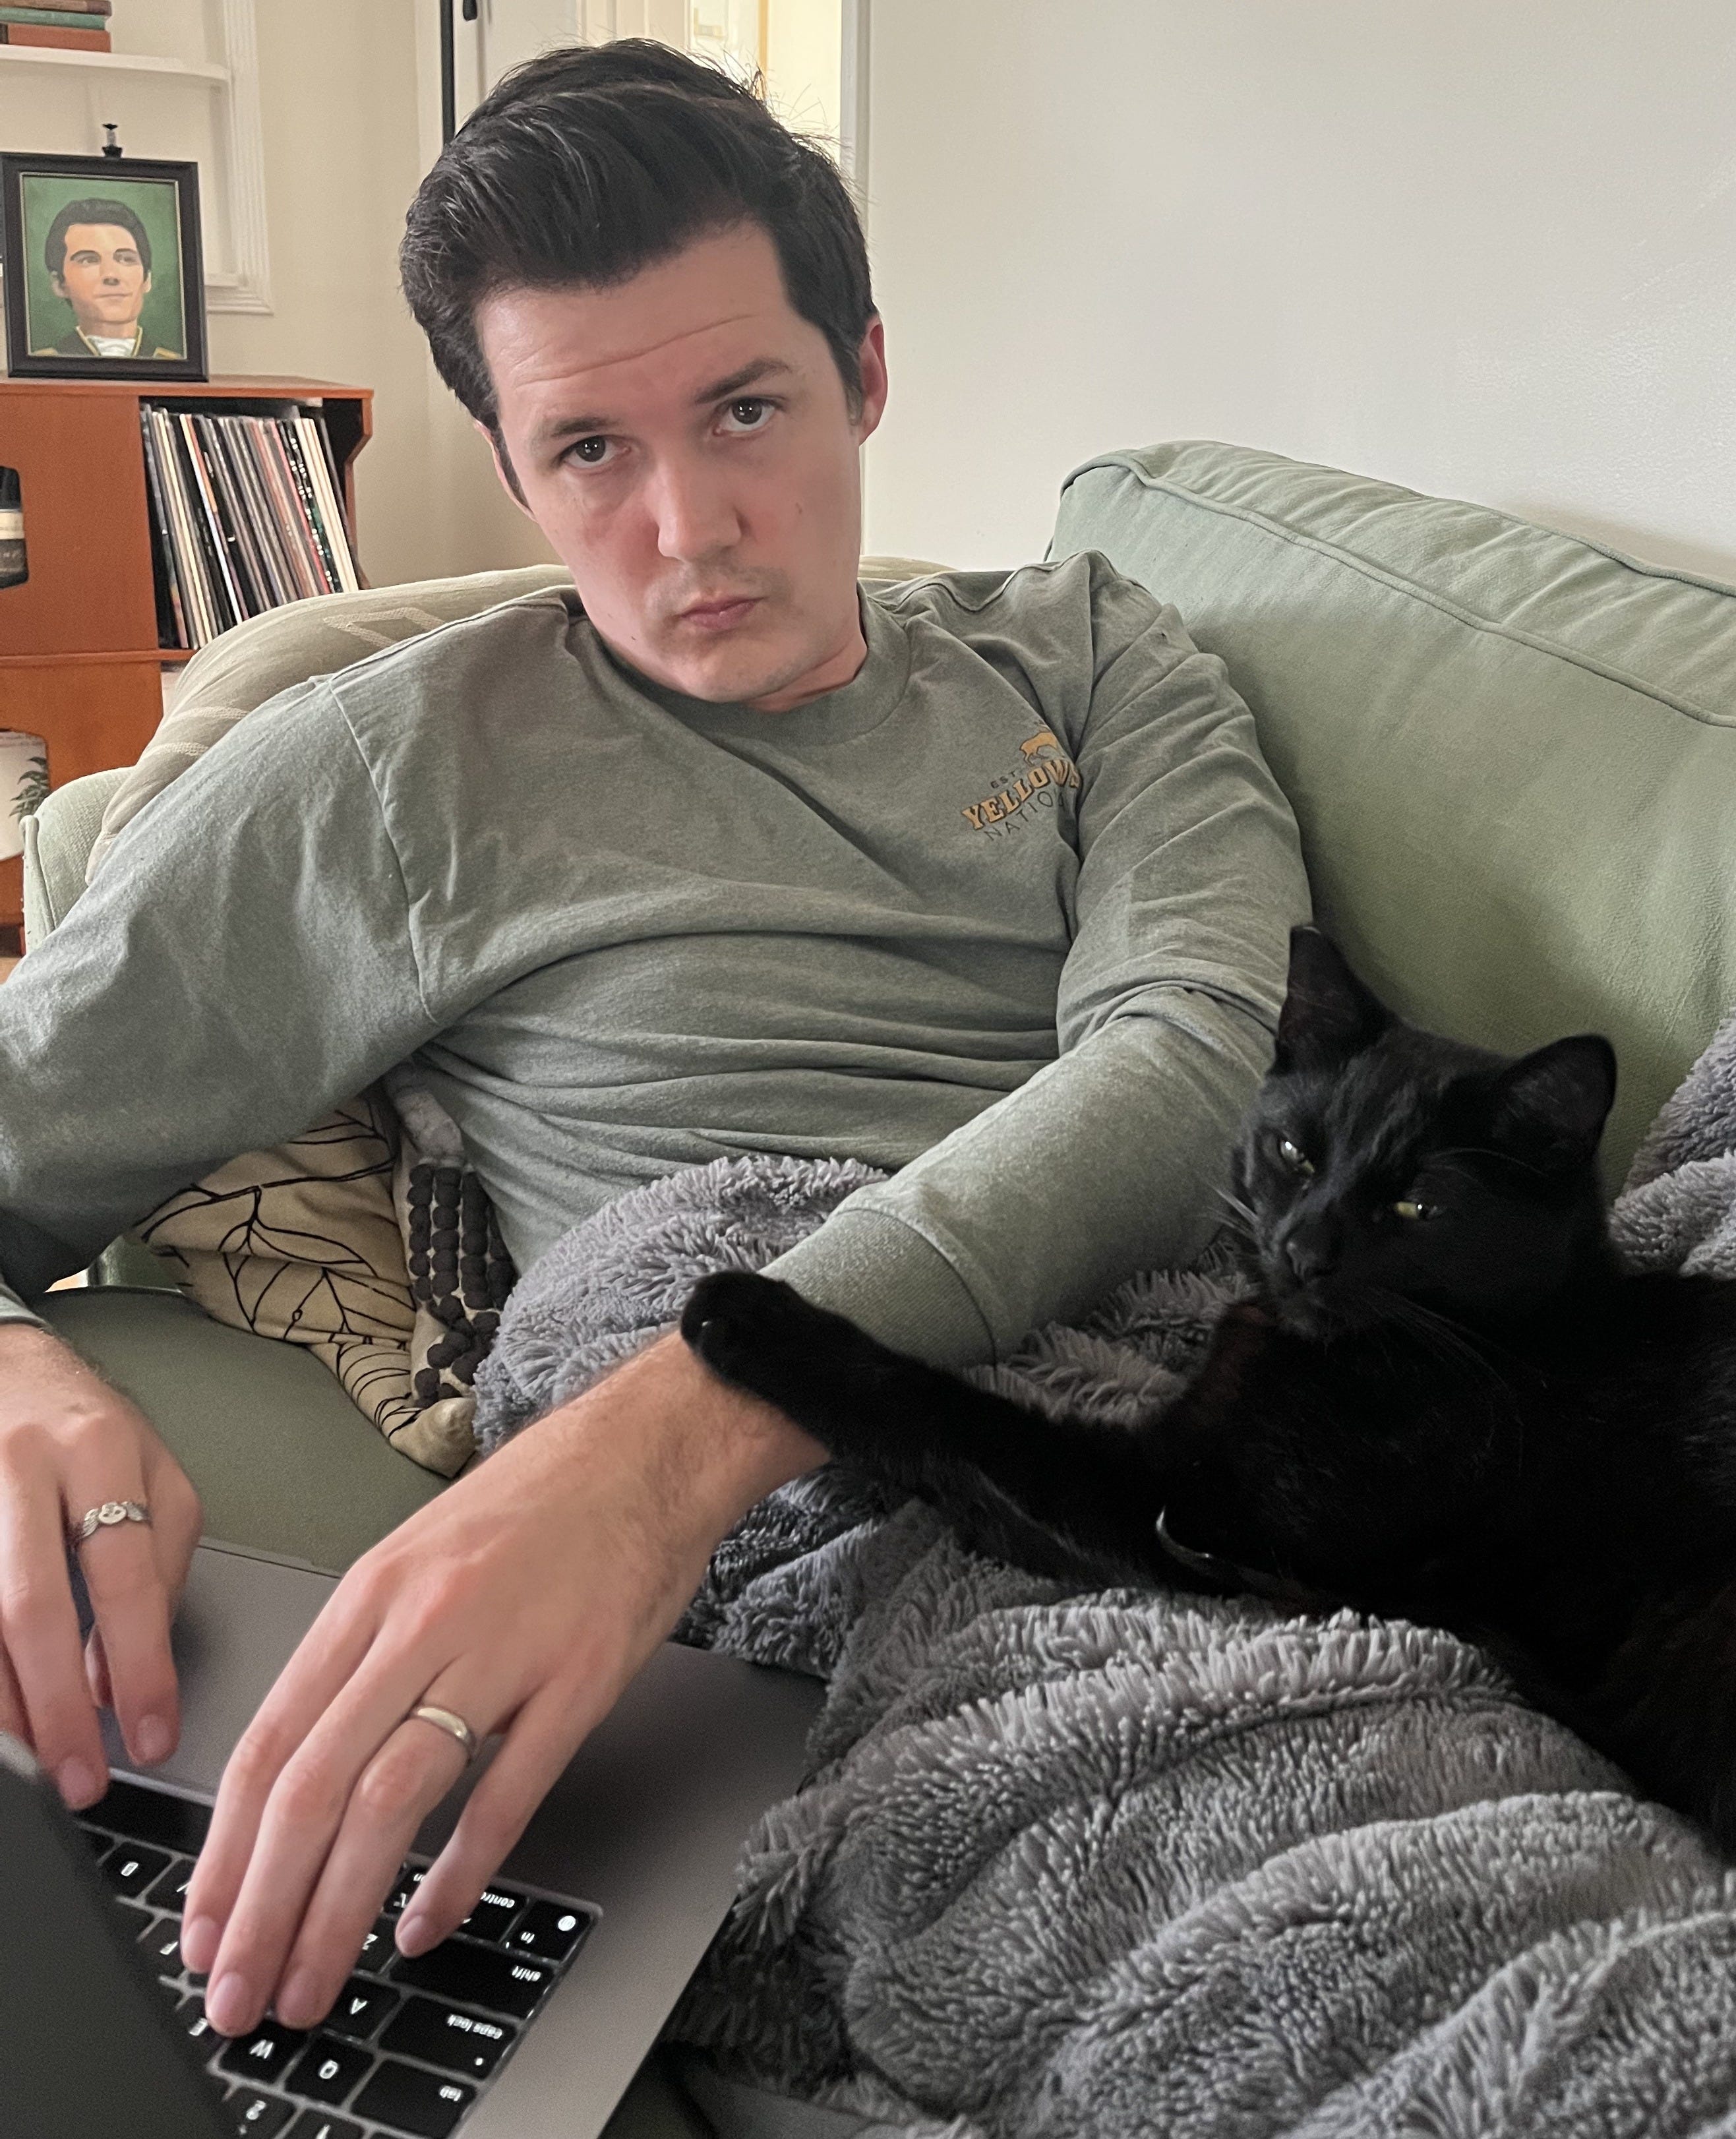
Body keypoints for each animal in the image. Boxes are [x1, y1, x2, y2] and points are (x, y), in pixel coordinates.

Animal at [681, 925, 1736, 1853]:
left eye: (1415, 1205)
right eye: (1294, 1154)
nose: (1301, 1250)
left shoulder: (1160, 1495)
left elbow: (947, 1413)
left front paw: (747, 1318)